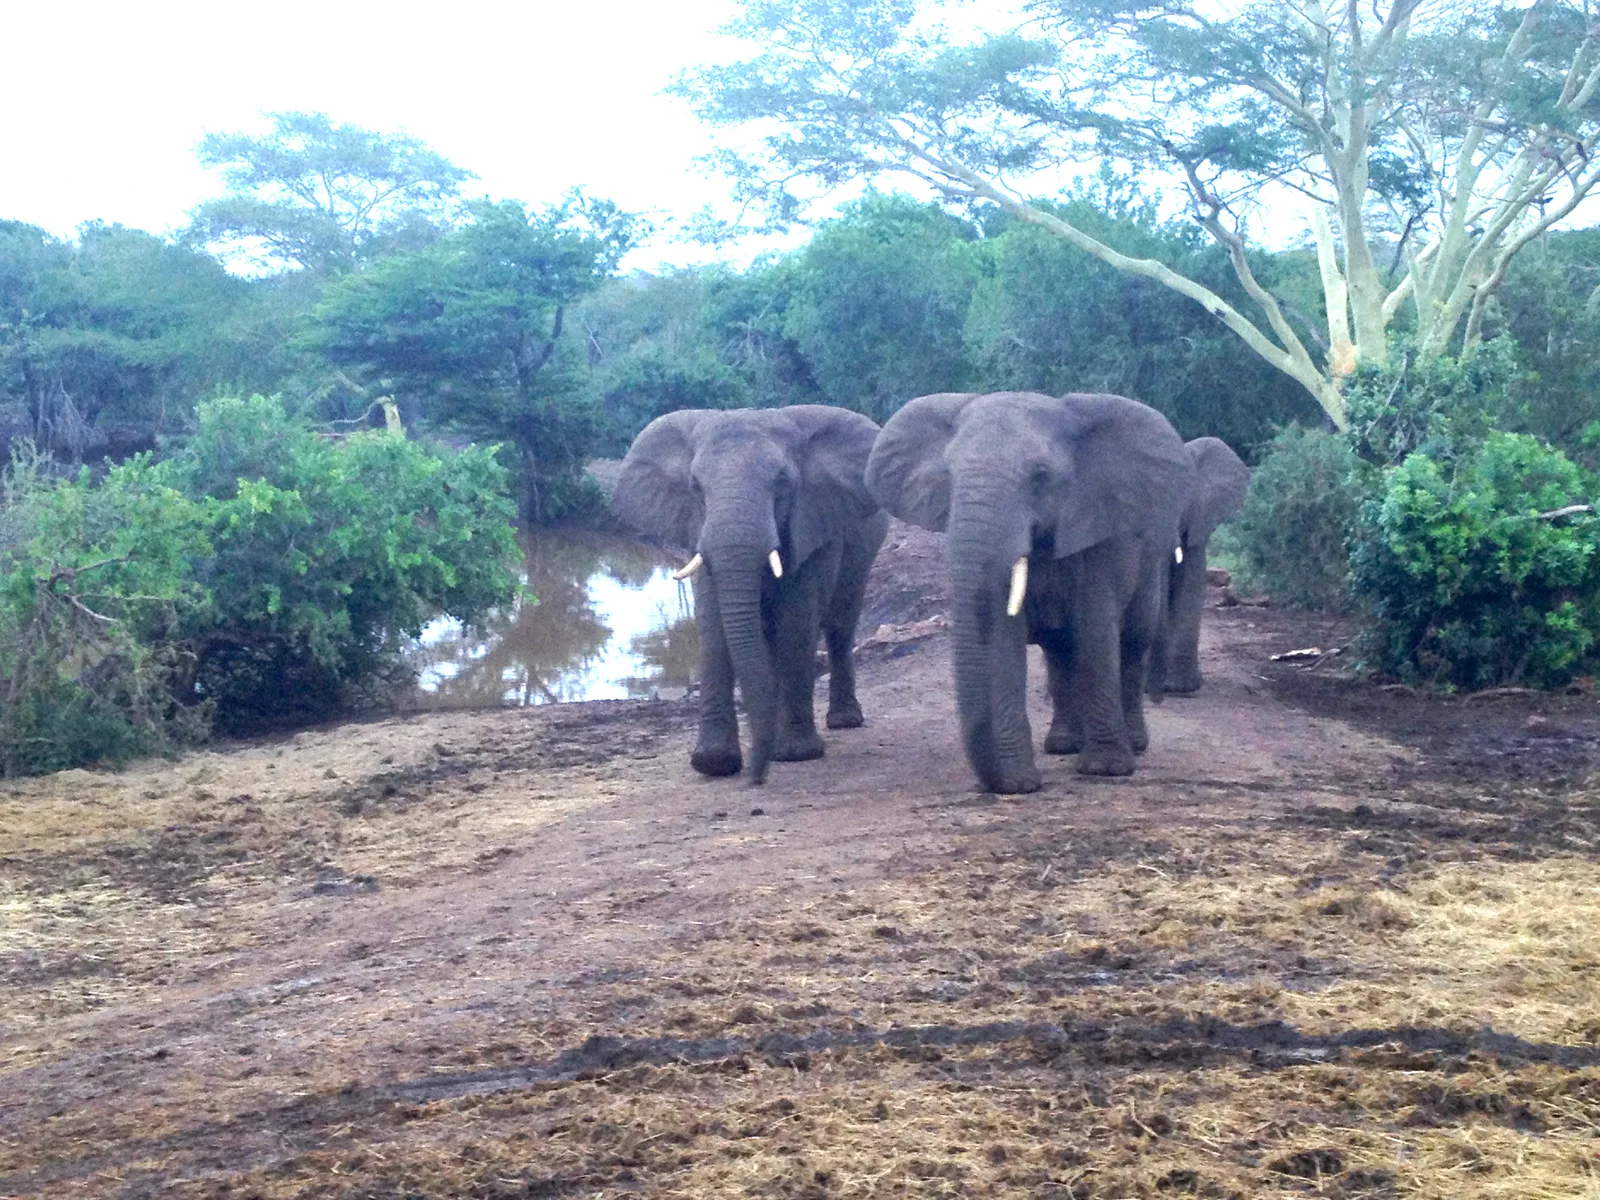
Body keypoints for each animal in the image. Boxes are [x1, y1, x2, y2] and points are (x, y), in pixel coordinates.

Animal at [612, 406, 889, 785]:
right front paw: (714, 763)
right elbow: (713, 625)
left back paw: (843, 722)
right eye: (695, 487)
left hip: (864, 550)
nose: (758, 779)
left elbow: (797, 619)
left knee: (840, 626)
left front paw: (796, 754)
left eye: (783, 482)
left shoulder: (814, 522)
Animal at [866, 391, 1193, 793]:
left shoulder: (1100, 532)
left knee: (1132, 642)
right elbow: (1004, 642)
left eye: (1040, 477)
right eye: (948, 476)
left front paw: (1106, 769)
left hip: (1151, 553)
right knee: (1061, 652)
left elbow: (1097, 632)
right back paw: (1063, 745)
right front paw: (1019, 785)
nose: (993, 782)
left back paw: (1133, 744)